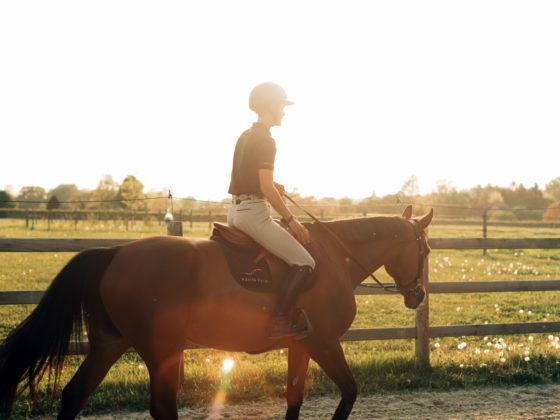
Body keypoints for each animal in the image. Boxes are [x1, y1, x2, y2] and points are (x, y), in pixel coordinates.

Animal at [0, 205, 434, 418]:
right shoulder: (325, 343)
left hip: (110, 343)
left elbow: (294, 398)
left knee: (74, 396)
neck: (332, 257)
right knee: (163, 408)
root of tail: (116, 252)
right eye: (427, 249)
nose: (418, 295)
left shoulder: (302, 345)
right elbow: (349, 392)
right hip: (162, 349)